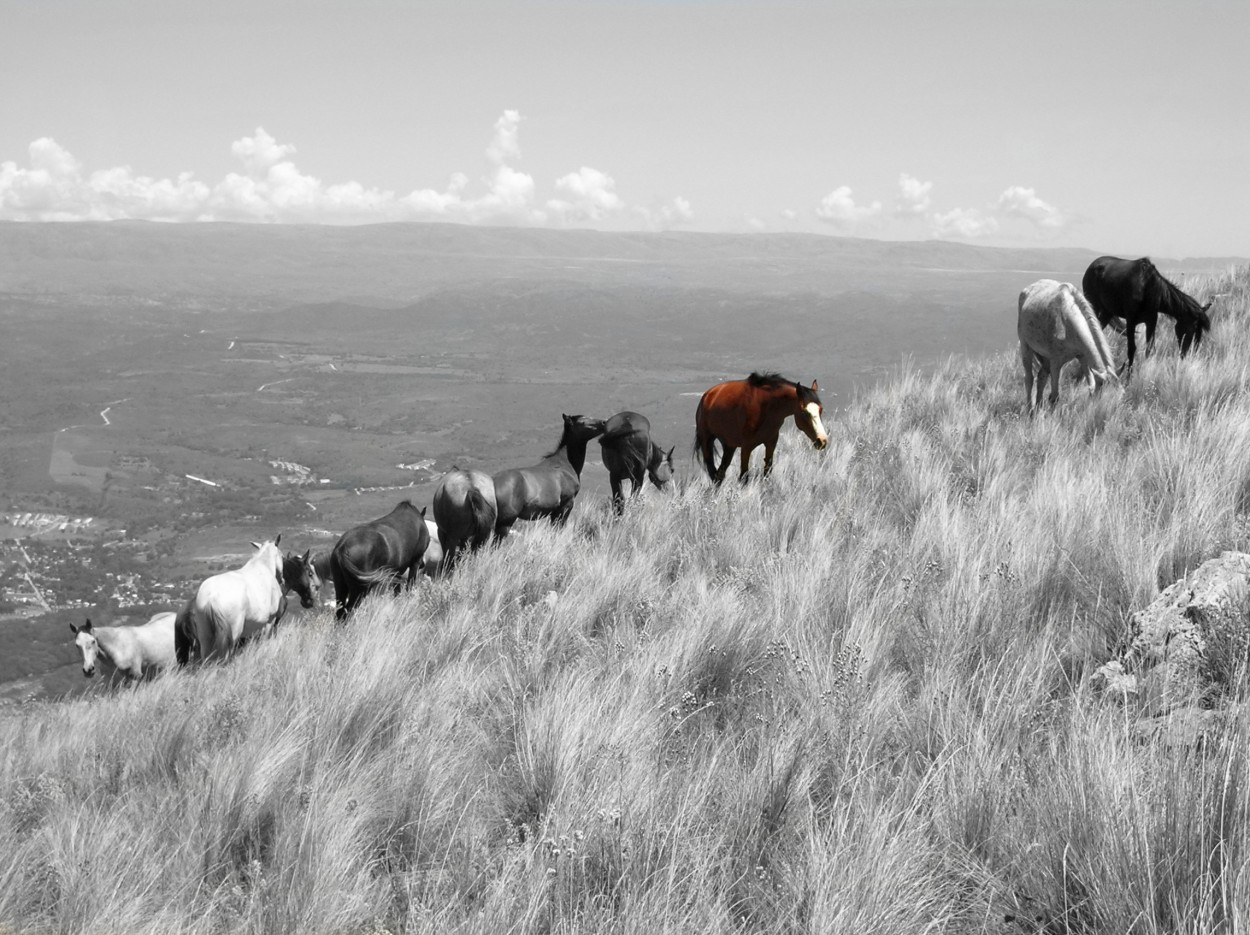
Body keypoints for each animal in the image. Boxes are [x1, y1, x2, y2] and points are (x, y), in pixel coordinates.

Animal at [695, 370, 830, 482]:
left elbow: (767, 472)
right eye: (804, 412)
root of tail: (708, 395)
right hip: (707, 441)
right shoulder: (746, 447)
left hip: (729, 445)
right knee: (713, 472)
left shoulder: (771, 443)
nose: (822, 441)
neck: (766, 407)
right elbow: (744, 477)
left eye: (821, 409)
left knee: (720, 473)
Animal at [1015, 277, 1125, 417]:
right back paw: (1030, 411)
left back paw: (1039, 406)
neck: (1067, 321)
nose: (1106, 418)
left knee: (1042, 377)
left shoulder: (1083, 356)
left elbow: (1091, 386)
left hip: (1045, 357)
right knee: (1029, 379)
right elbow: (1055, 396)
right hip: (1026, 347)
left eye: (1121, 396)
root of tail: (1027, 290)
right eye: (1103, 400)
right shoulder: (1056, 362)